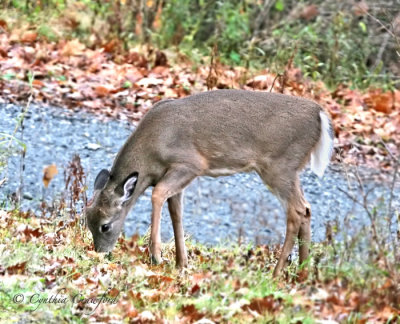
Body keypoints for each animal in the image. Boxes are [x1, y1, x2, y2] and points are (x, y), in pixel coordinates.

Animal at [85, 88, 334, 276]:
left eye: (105, 225)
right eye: (88, 222)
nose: (100, 252)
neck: (151, 154)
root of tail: (320, 114)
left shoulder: (190, 163)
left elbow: (158, 195)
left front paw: (156, 256)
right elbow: (176, 212)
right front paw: (181, 262)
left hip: (279, 166)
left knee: (296, 210)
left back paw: (277, 272)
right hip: (289, 170)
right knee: (306, 209)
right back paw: (302, 272)